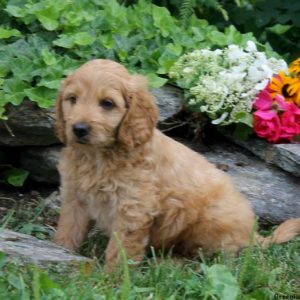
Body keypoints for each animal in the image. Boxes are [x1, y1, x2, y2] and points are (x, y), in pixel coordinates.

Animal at [54, 58, 300, 268]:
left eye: (107, 104)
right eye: (72, 99)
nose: (79, 129)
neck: (97, 157)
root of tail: (253, 235)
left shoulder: (133, 208)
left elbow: (121, 250)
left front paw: (112, 280)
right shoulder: (74, 197)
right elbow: (68, 230)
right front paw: (62, 253)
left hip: (211, 221)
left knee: (209, 258)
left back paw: (170, 262)